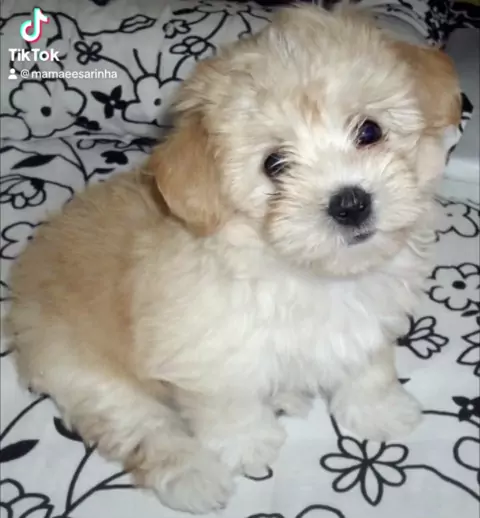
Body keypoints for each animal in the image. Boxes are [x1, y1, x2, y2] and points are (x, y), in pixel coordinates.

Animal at [5, 5, 461, 514]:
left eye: (369, 131)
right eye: (274, 164)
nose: (350, 203)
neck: (308, 273)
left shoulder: (370, 318)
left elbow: (369, 367)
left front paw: (379, 410)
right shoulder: (203, 348)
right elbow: (226, 401)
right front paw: (247, 444)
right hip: (81, 368)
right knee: (141, 426)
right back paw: (194, 476)